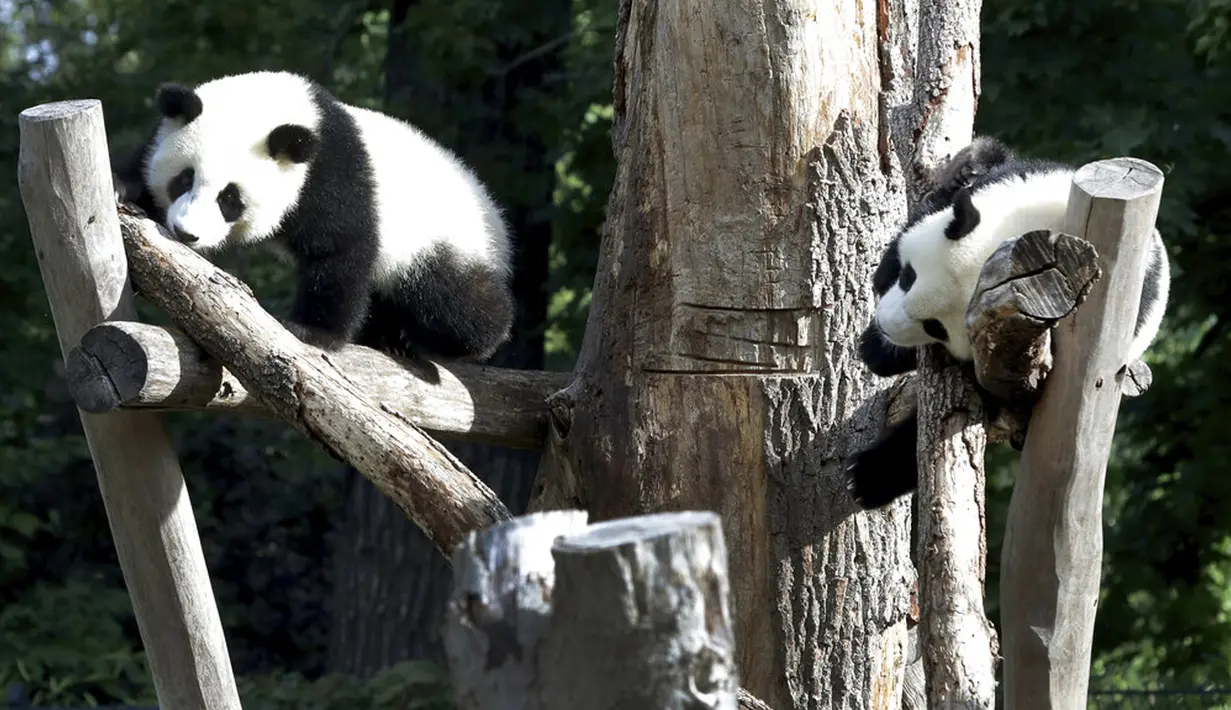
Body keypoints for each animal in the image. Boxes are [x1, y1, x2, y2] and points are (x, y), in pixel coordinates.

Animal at [112, 70, 515, 362]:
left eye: (230, 198)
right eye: (184, 179)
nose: (186, 233)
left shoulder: (332, 177)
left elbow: (341, 252)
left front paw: (312, 332)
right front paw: (122, 188)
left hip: (439, 242)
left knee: (456, 299)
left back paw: (464, 338)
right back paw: (387, 338)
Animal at [845, 136, 1171, 509]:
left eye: (935, 326)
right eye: (908, 276)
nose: (885, 325)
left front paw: (868, 477)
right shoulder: (1024, 178)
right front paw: (877, 349)